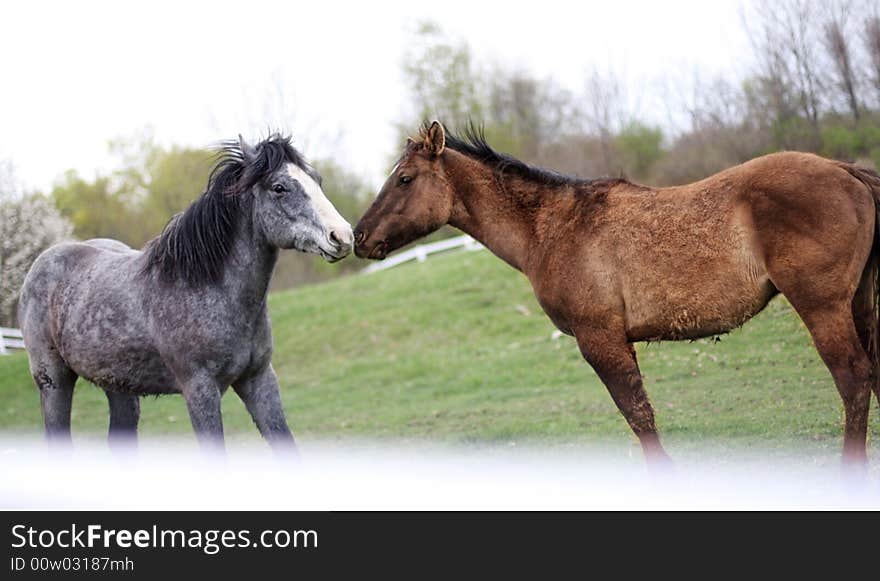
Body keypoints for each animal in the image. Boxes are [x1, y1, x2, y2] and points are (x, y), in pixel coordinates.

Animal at [18, 136, 352, 454]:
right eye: (279, 187)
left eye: (317, 179)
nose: (342, 236)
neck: (205, 287)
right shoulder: (200, 389)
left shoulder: (258, 380)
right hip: (53, 381)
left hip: (119, 386)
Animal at [354, 120, 880, 464]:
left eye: (404, 179)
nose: (359, 237)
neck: (555, 228)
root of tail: (846, 170)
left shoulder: (600, 339)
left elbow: (639, 417)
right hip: (858, 303)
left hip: (822, 306)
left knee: (853, 378)